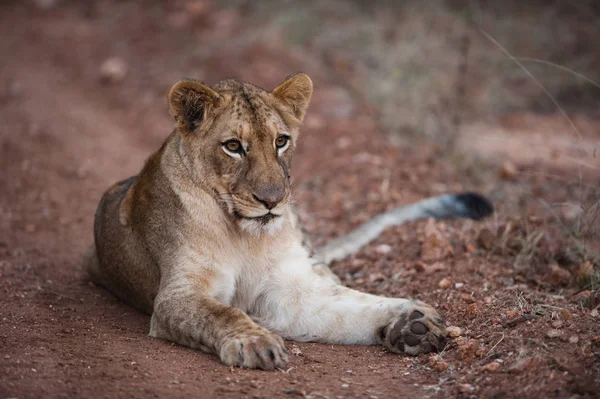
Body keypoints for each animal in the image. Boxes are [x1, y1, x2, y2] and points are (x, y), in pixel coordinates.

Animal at [83, 73, 492, 370]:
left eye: (281, 141)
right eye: (233, 146)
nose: (272, 200)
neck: (244, 234)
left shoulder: (283, 290)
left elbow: (346, 306)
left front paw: (410, 322)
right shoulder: (177, 295)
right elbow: (221, 312)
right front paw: (254, 341)